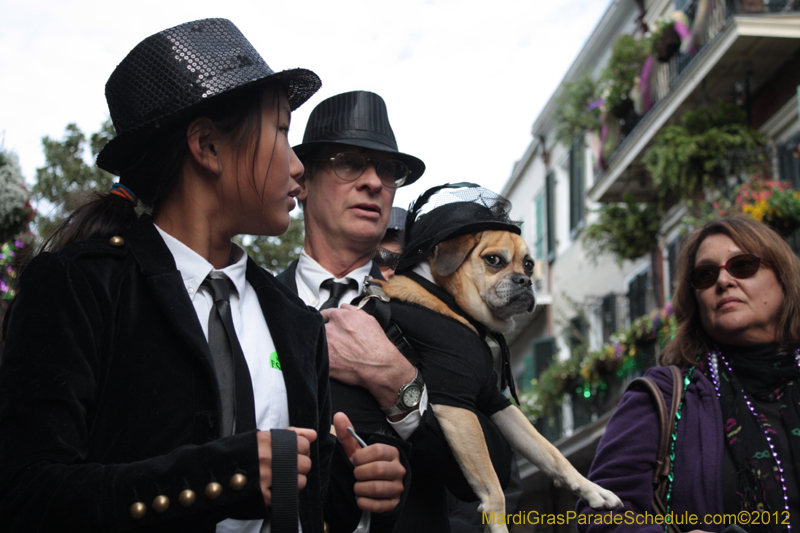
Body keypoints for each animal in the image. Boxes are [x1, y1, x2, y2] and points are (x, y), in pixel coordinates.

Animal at [376, 230, 620, 532]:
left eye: (528, 264)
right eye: (493, 260)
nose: (526, 281)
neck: (450, 302)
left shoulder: (497, 402)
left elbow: (550, 453)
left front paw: (592, 489)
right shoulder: (456, 407)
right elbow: (493, 488)